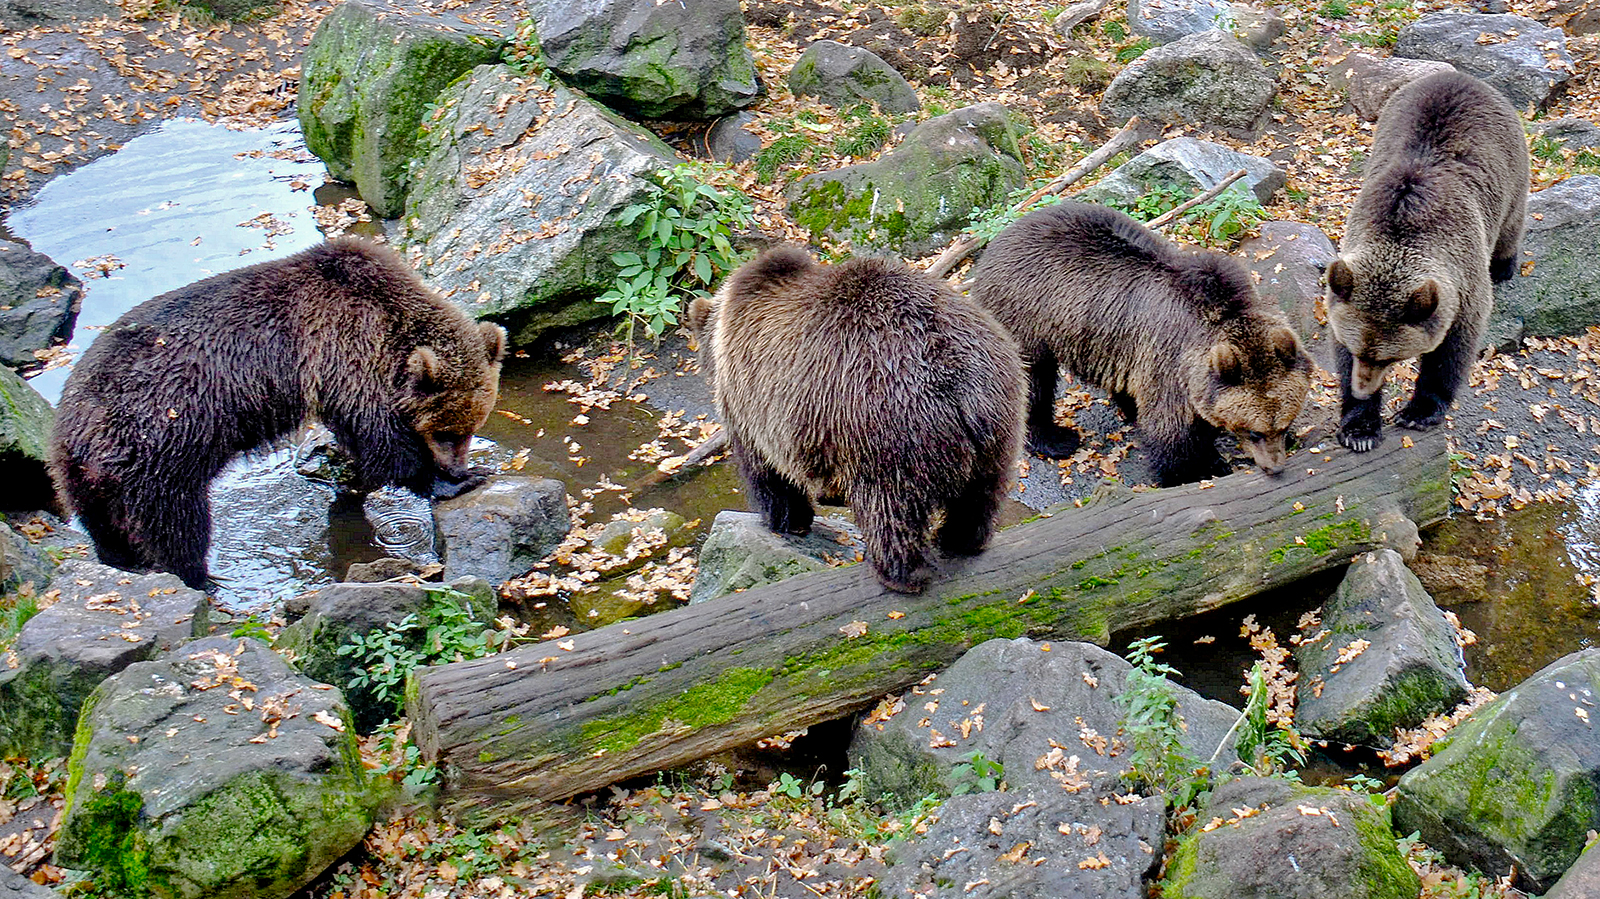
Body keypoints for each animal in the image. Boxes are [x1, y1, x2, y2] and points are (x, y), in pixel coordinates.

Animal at [51, 238, 505, 588]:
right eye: (445, 431)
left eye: (471, 427)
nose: (456, 465)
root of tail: (73, 419)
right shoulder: (345, 352)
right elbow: (382, 443)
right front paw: (451, 480)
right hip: (160, 443)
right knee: (175, 521)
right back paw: (200, 576)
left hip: (85, 472)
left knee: (103, 522)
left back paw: (122, 560)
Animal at [688, 246, 1024, 595]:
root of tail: (955, 375)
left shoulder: (753, 402)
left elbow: (768, 472)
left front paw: (787, 519)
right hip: (1000, 412)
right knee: (982, 492)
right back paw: (960, 540)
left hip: (882, 422)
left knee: (890, 508)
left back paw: (900, 574)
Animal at [966, 202, 1318, 486]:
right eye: (1254, 431)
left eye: (1283, 425)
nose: (1274, 467)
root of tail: (998, 240)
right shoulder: (1170, 363)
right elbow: (1172, 433)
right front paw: (1197, 469)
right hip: (1025, 316)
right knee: (1033, 381)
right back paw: (1054, 438)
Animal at [1318, 69, 1529, 451]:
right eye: (1357, 350)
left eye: (1389, 357)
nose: (1363, 387)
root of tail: (1460, 76)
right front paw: (1359, 426)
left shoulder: (1462, 282)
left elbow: (1451, 352)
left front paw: (1419, 411)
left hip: (1510, 167)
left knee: (1512, 220)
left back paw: (1504, 264)